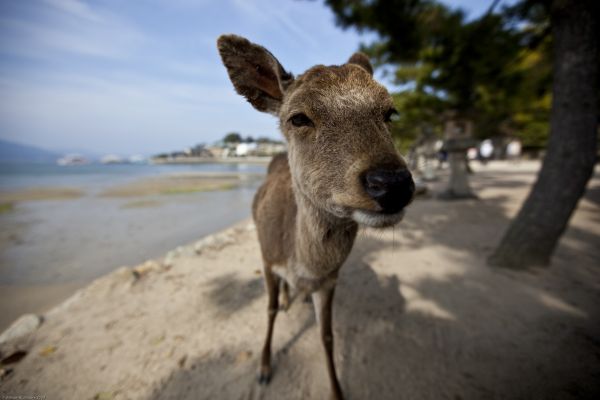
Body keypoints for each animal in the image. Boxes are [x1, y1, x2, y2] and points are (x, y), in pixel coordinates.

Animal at [218, 35, 414, 400]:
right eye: (298, 118)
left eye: (391, 112)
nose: (392, 183)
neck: (302, 262)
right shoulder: (267, 257)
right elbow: (267, 309)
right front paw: (264, 369)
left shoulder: (330, 280)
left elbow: (328, 335)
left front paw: (337, 391)